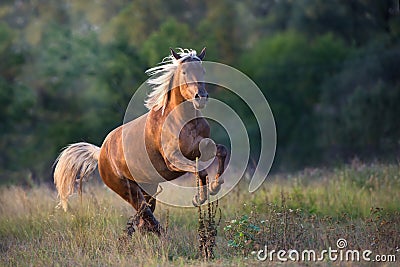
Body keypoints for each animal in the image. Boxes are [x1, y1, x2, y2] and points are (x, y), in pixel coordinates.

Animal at [54, 48, 228, 237]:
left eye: (203, 71)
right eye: (184, 72)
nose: (200, 97)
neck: (181, 120)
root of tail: (100, 153)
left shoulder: (198, 148)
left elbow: (221, 150)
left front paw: (215, 186)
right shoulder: (173, 160)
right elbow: (200, 169)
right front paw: (200, 197)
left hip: (148, 188)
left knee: (144, 219)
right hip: (129, 190)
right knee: (145, 215)